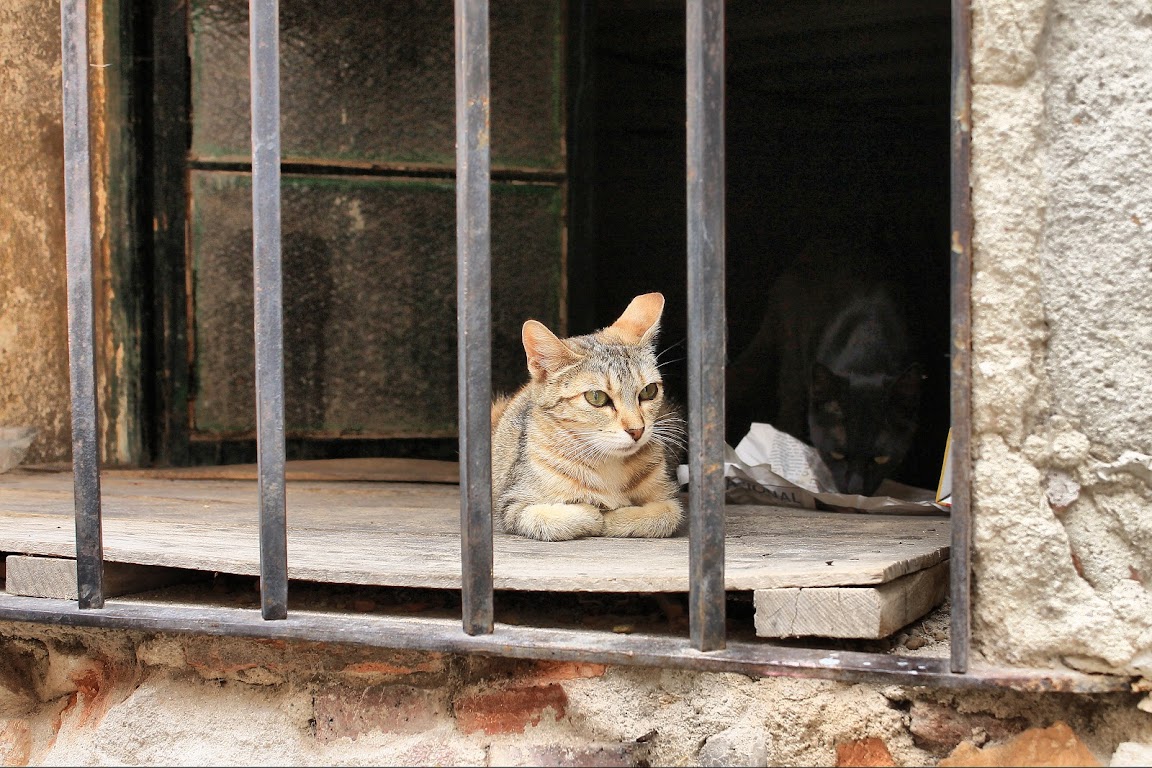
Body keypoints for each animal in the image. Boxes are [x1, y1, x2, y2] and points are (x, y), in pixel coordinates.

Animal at [488, 292, 681, 541]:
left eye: (649, 391)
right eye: (596, 397)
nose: (637, 430)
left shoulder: (669, 497)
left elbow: (666, 515)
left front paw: (615, 518)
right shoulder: (512, 504)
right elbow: (553, 518)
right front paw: (594, 514)